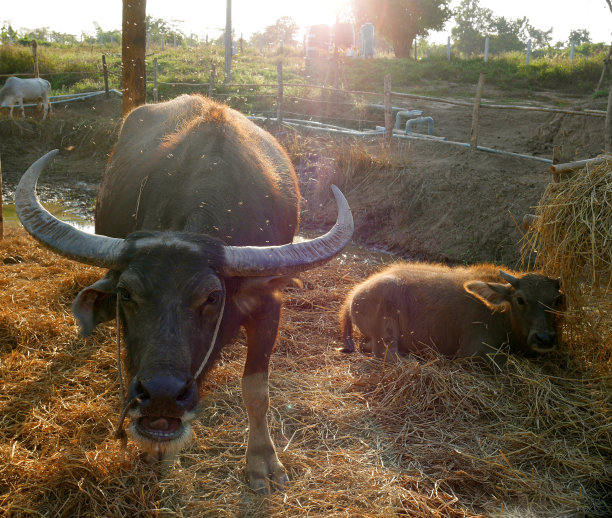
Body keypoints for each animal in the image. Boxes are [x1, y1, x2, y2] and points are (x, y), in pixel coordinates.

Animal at [15, 93, 354, 496]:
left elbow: (256, 390)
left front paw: (262, 464)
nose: (162, 393)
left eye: (212, 297)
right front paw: (157, 455)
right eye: (126, 294)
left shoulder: (268, 308)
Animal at [340, 262, 564, 364]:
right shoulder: (475, 352)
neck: (502, 315)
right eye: (520, 299)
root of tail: (353, 297)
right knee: (388, 355)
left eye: (556, 300)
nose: (544, 338)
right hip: (386, 332)